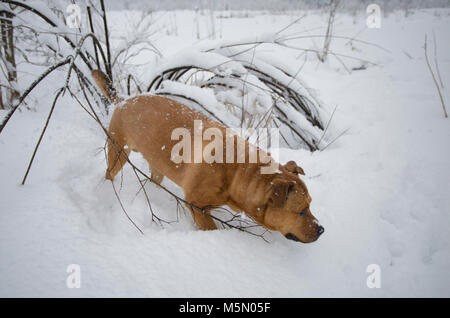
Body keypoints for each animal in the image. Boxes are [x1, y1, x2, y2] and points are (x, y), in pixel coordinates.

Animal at [92, 70, 324, 243]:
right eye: (302, 211)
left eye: (311, 205)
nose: (321, 229)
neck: (236, 170)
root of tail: (124, 100)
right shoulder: (197, 205)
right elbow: (212, 229)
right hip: (118, 151)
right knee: (110, 172)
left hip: (157, 163)